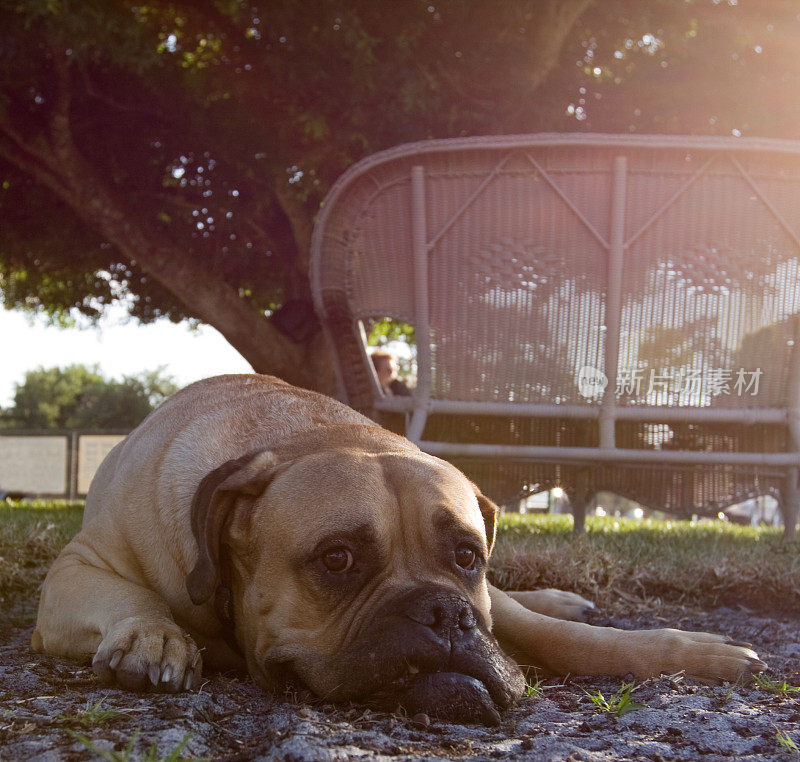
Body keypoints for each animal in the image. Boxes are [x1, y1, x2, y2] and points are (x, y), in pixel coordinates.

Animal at [32, 378, 768, 720]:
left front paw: (693, 652)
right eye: (337, 560)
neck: (303, 436)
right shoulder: (76, 570)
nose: (444, 614)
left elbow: (562, 640)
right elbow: (126, 597)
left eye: (467, 556)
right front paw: (152, 637)